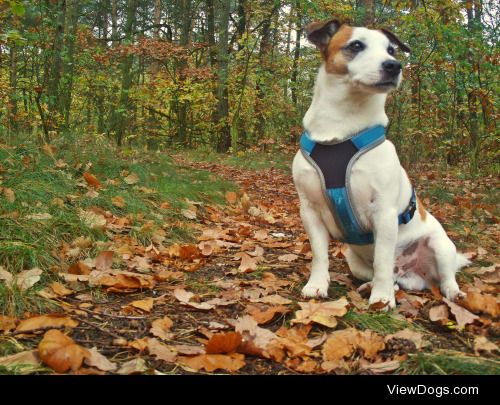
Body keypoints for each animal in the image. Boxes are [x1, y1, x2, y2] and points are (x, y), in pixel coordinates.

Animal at [292, 19, 468, 310]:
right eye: (355, 45)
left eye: (391, 50)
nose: (394, 66)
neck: (341, 128)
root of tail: (412, 273)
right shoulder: (310, 211)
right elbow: (320, 255)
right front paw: (317, 284)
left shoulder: (384, 213)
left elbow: (383, 262)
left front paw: (383, 299)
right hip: (354, 260)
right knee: (385, 275)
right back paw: (370, 286)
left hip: (441, 246)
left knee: (443, 278)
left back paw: (452, 293)